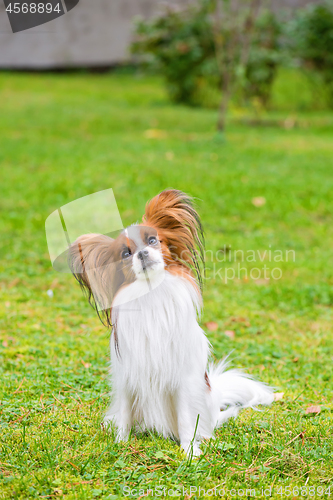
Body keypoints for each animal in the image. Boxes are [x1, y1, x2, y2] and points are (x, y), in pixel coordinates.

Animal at [69, 189, 272, 456]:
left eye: (153, 241)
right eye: (126, 254)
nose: (142, 253)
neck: (151, 293)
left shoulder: (183, 379)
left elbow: (186, 418)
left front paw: (189, 451)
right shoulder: (127, 376)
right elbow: (124, 415)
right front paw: (120, 444)